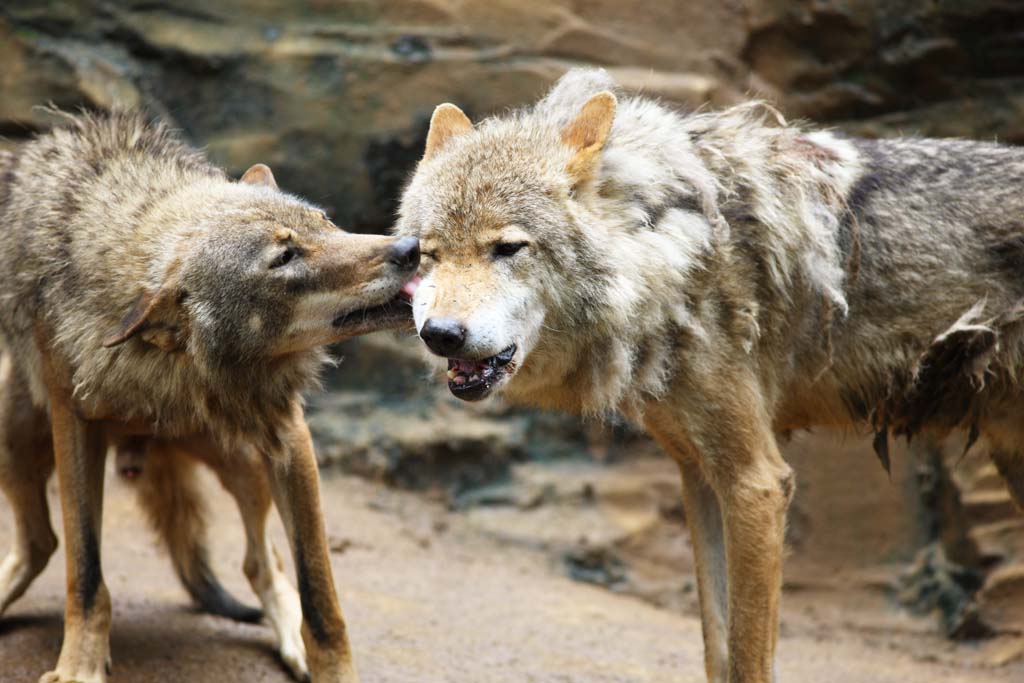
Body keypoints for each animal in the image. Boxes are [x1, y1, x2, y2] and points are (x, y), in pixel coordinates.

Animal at [0, 112, 419, 683]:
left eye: (326, 222)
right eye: (285, 257)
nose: (410, 248)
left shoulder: (288, 433)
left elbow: (321, 601)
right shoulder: (75, 424)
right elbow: (85, 573)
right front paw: (80, 667)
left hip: (244, 457)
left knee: (262, 563)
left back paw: (290, 641)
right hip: (13, 434)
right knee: (39, 545)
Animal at [393, 65, 1024, 683]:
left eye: (507, 248)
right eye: (428, 254)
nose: (440, 334)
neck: (668, 249)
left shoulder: (757, 482)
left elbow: (747, 658)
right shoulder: (699, 473)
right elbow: (716, 648)